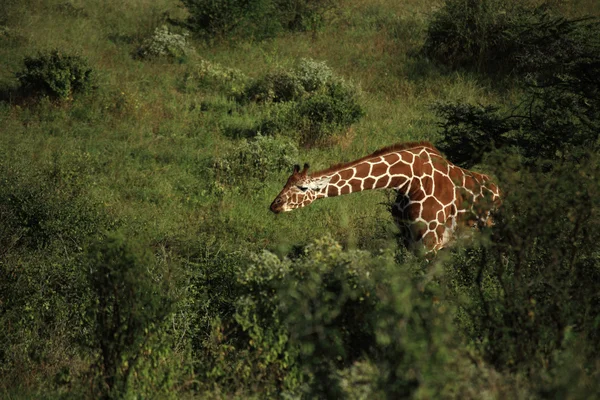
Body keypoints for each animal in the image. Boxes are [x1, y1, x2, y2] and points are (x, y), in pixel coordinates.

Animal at [270, 142, 500, 252]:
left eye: (302, 187)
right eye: (285, 182)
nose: (274, 205)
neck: (409, 181)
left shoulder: (430, 243)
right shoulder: (408, 240)